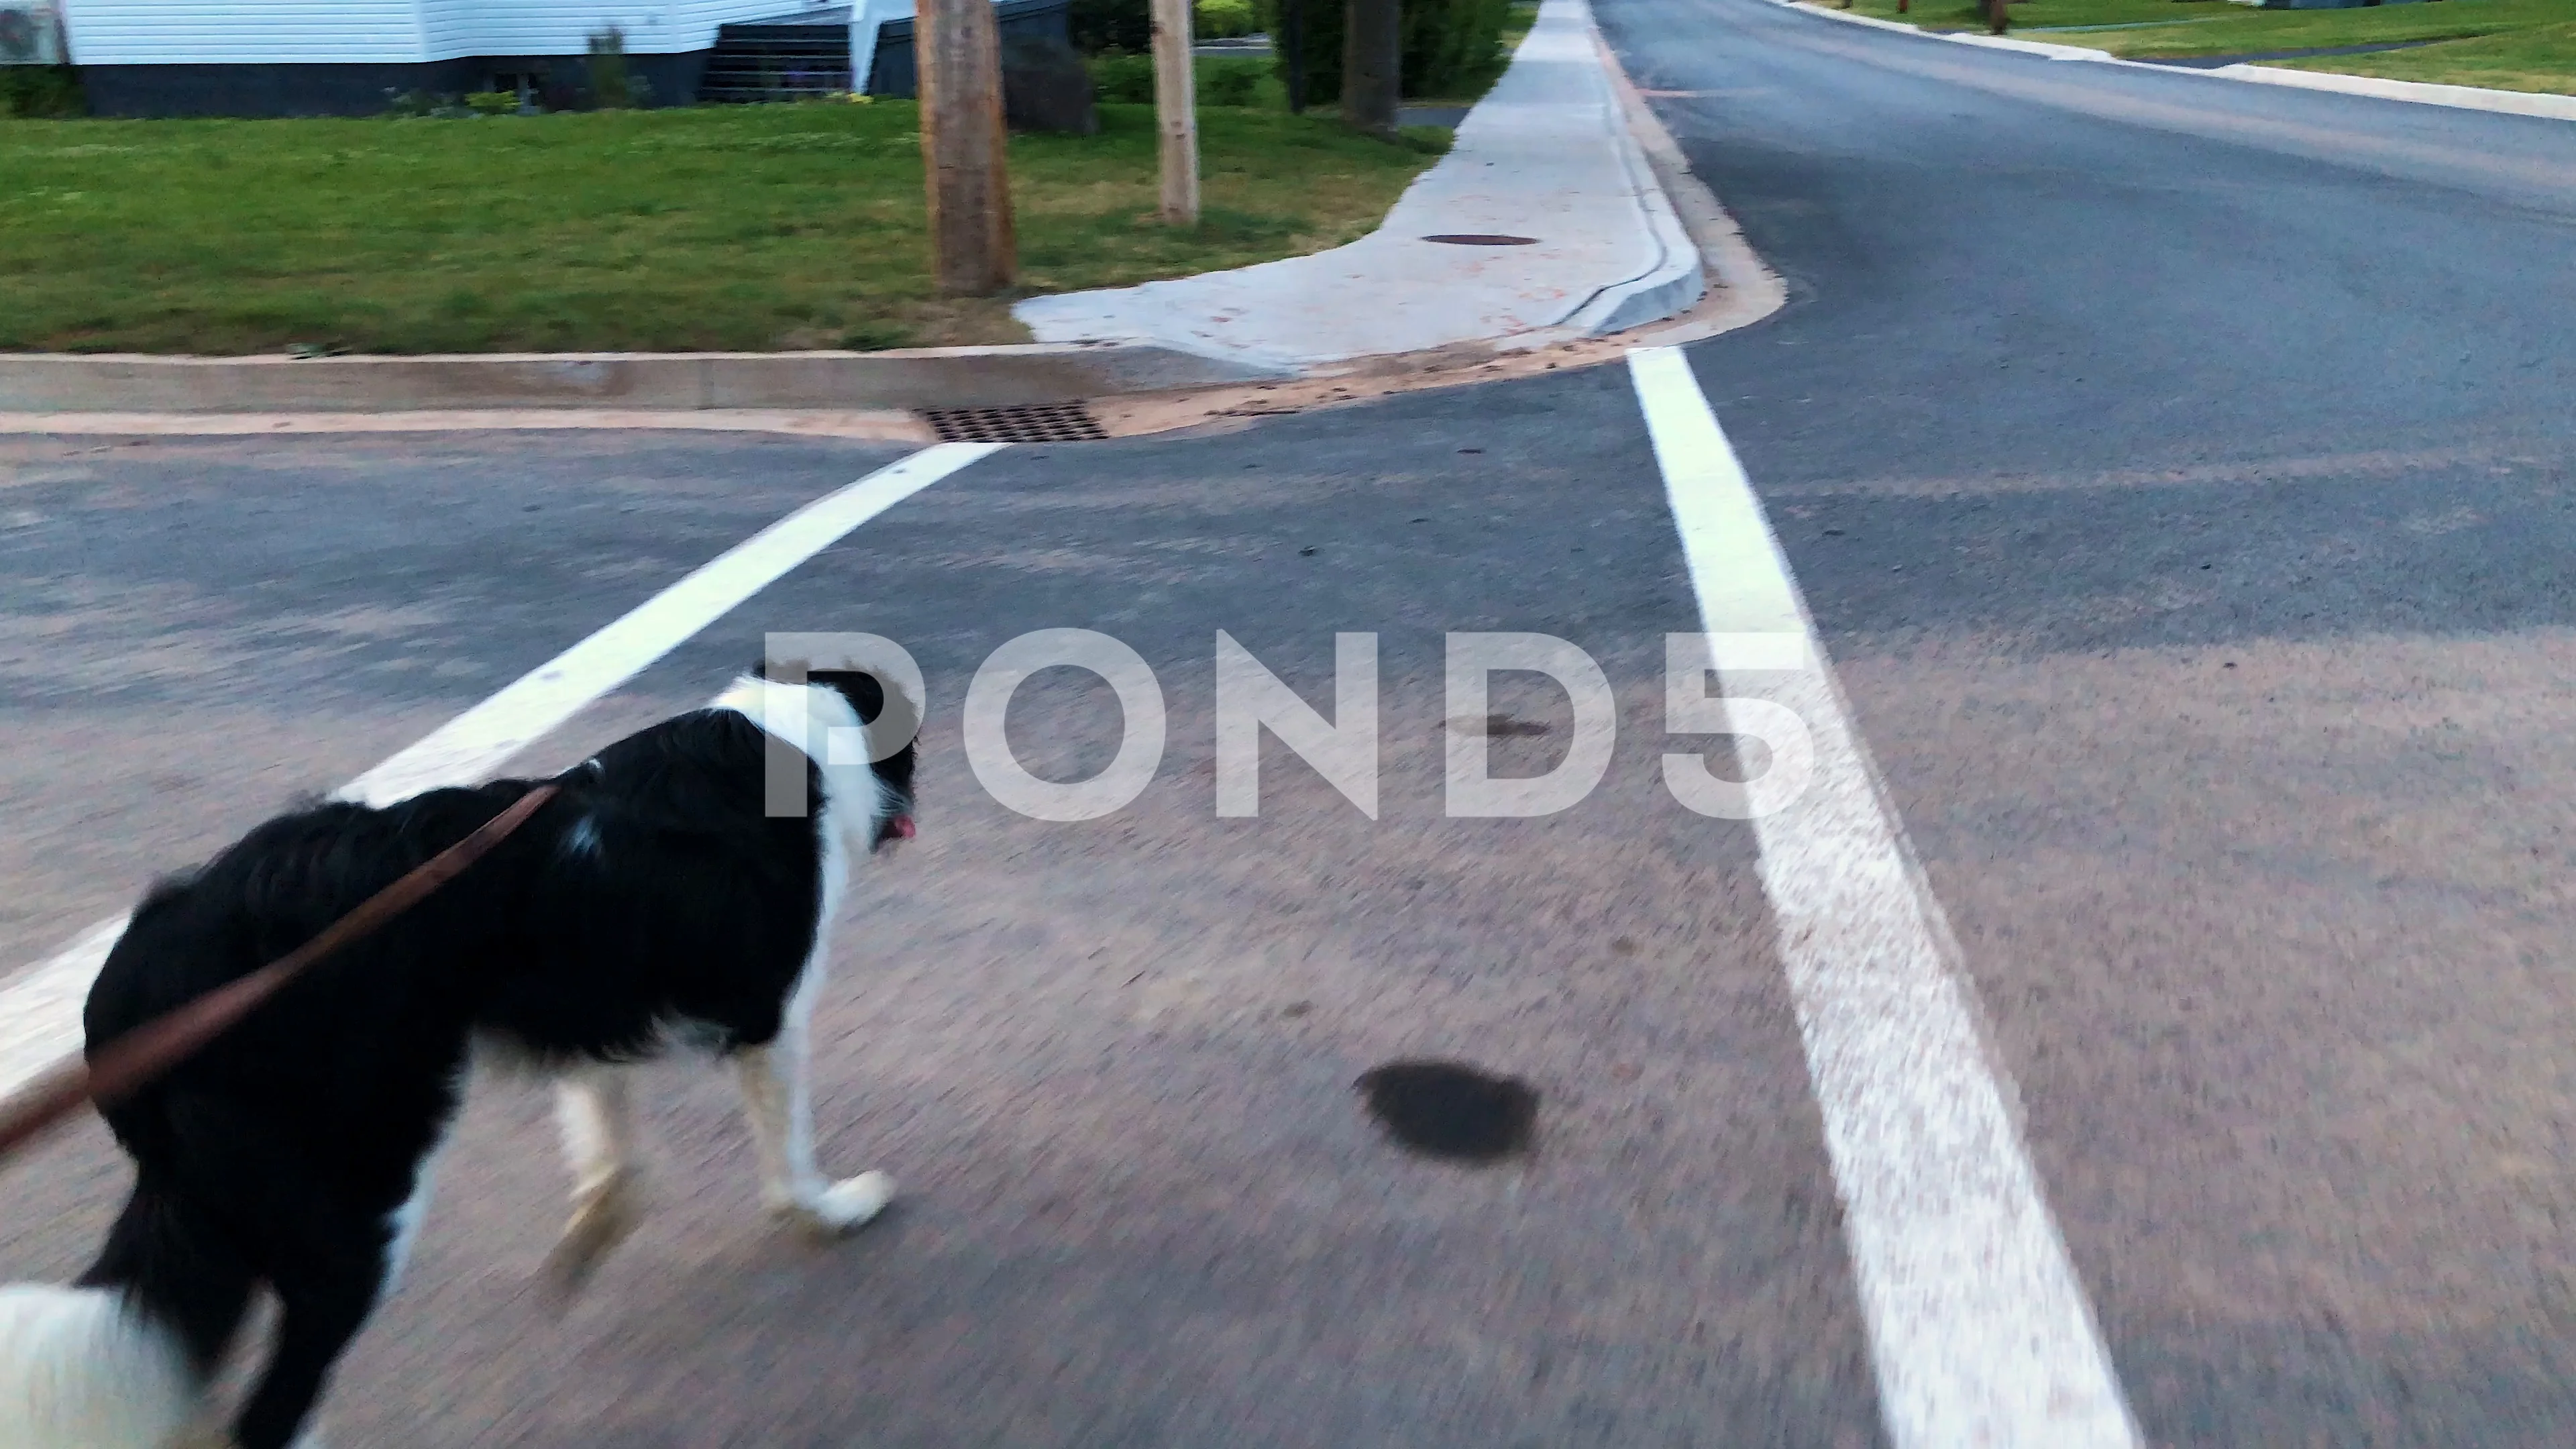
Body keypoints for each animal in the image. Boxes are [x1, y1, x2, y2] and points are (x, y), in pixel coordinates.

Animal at [0, 659, 917, 1433]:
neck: (791, 731)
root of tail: (138, 980)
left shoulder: (589, 1015)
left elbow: (612, 1158)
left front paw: (588, 1241)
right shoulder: (770, 1020)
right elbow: (788, 1162)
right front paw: (837, 1211)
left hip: (224, 1209)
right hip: (356, 1196)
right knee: (270, 1410)